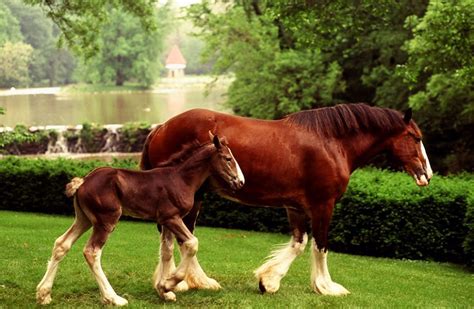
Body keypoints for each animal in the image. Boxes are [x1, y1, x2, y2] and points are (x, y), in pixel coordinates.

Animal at [36, 134, 244, 304]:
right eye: (228, 159)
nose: (241, 182)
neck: (181, 178)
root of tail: (83, 181)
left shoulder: (165, 221)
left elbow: (166, 251)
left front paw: (164, 291)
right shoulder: (172, 217)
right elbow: (192, 243)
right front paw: (169, 284)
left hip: (84, 219)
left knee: (62, 244)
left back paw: (44, 294)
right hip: (106, 220)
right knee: (92, 252)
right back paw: (113, 298)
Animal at [141, 103, 434, 296]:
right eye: (415, 137)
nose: (427, 175)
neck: (331, 142)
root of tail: (161, 128)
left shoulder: (296, 206)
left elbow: (298, 243)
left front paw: (268, 281)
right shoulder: (323, 204)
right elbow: (320, 245)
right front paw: (326, 286)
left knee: (173, 239)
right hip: (191, 199)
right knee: (181, 238)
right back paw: (192, 281)